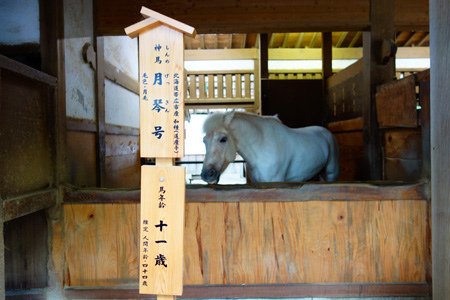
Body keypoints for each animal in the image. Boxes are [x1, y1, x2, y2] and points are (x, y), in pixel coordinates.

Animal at [200, 111, 338, 184]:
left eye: (223, 139)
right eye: (204, 141)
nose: (206, 175)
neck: (262, 147)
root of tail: (325, 132)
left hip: (331, 173)